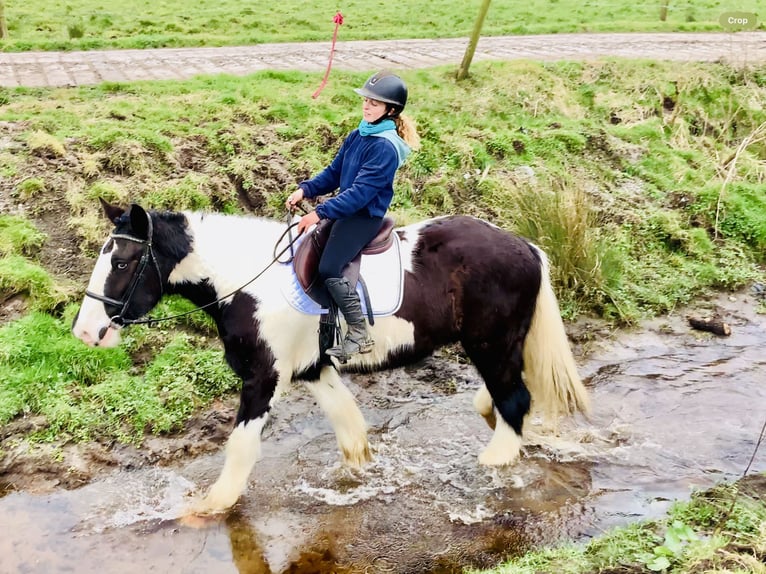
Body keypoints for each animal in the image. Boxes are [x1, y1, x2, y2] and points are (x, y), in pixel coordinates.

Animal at [72, 200, 592, 516]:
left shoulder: (263, 378)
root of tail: (525, 246)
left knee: (514, 400)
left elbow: (241, 446)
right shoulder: (314, 369)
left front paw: (210, 506)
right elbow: (349, 428)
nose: (85, 332)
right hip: (497, 345)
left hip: (491, 343)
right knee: (504, 396)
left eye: (121, 262)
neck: (248, 283)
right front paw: (359, 475)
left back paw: (494, 463)